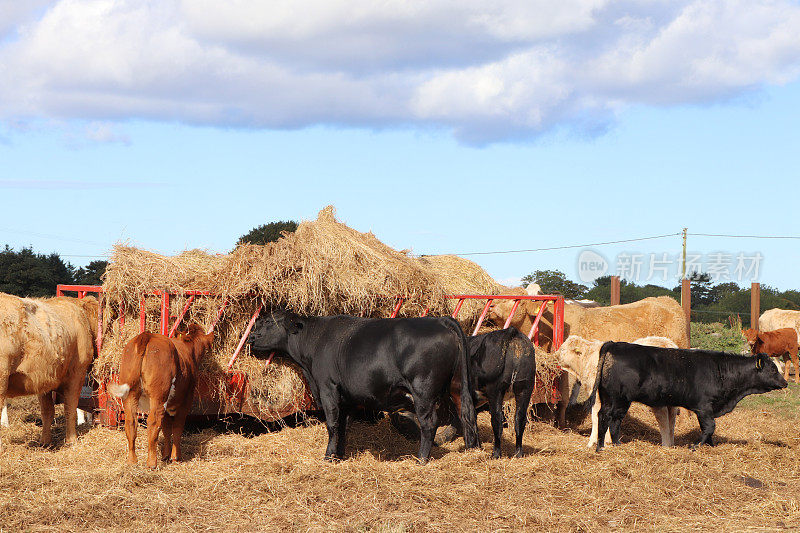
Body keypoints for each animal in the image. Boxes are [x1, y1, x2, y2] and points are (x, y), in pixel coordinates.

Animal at [0, 290, 98, 448]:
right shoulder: (77, 373)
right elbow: (71, 407)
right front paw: (72, 439)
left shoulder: (43, 378)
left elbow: (47, 411)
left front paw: (45, 441)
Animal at [111, 322, 216, 468]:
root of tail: (147, 335)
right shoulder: (186, 401)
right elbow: (177, 427)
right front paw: (175, 457)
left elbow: (166, 428)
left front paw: (166, 455)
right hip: (158, 395)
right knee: (153, 422)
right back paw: (151, 463)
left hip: (131, 395)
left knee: (131, 422)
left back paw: (132, 461)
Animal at [247, 310, 478, 464]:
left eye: (267, 321)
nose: (250, 337)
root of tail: (440, 320)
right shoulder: (347, 397)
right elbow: (343, 426)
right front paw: (339, 455)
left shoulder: (328, 389)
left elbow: (332, 424)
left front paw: (328, 457)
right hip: (456, 386)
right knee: (466, 413)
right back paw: (471, 450)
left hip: (423, 390)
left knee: (429, 423)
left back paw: (421, 459)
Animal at [588, 340, 788, 448]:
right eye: (772, 369)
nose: (785, 383)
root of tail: (614, 344)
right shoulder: (704, 407)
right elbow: (709, 427)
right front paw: (696, 446)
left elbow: (709, 430)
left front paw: (710, 446)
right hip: (617, 398)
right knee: (606, 417)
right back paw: (600, 447)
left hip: (613, 399)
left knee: (612, 419)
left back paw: (616, 444)